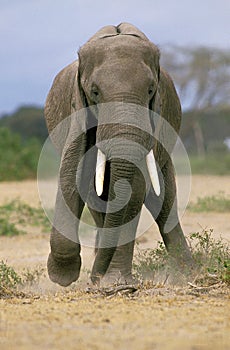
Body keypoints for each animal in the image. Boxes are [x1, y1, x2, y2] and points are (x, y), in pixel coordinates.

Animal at [44, 22, 193, 288]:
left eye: (151, 90)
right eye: (94, 92)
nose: (94, 278)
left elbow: (134, 188)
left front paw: (115, 282)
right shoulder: (77, 110)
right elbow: (72, 174)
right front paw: (63, 276)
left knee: (164, 201)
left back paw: (190, 272)